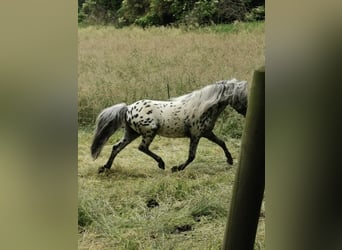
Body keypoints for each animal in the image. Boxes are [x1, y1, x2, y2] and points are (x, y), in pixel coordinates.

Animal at [90, 79, 246, 173]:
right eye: (241, 96)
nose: (246, 112)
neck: (202, 107)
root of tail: (128, 108)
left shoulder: (207, 133)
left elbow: (222, 142)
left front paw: (230, 160)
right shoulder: (196, 135)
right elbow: (192, 155)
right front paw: (177, 168)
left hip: (132, 133)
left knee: (116, 147)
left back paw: (105, 168)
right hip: (149, 131)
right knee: (142, 148)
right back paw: (161, 164)